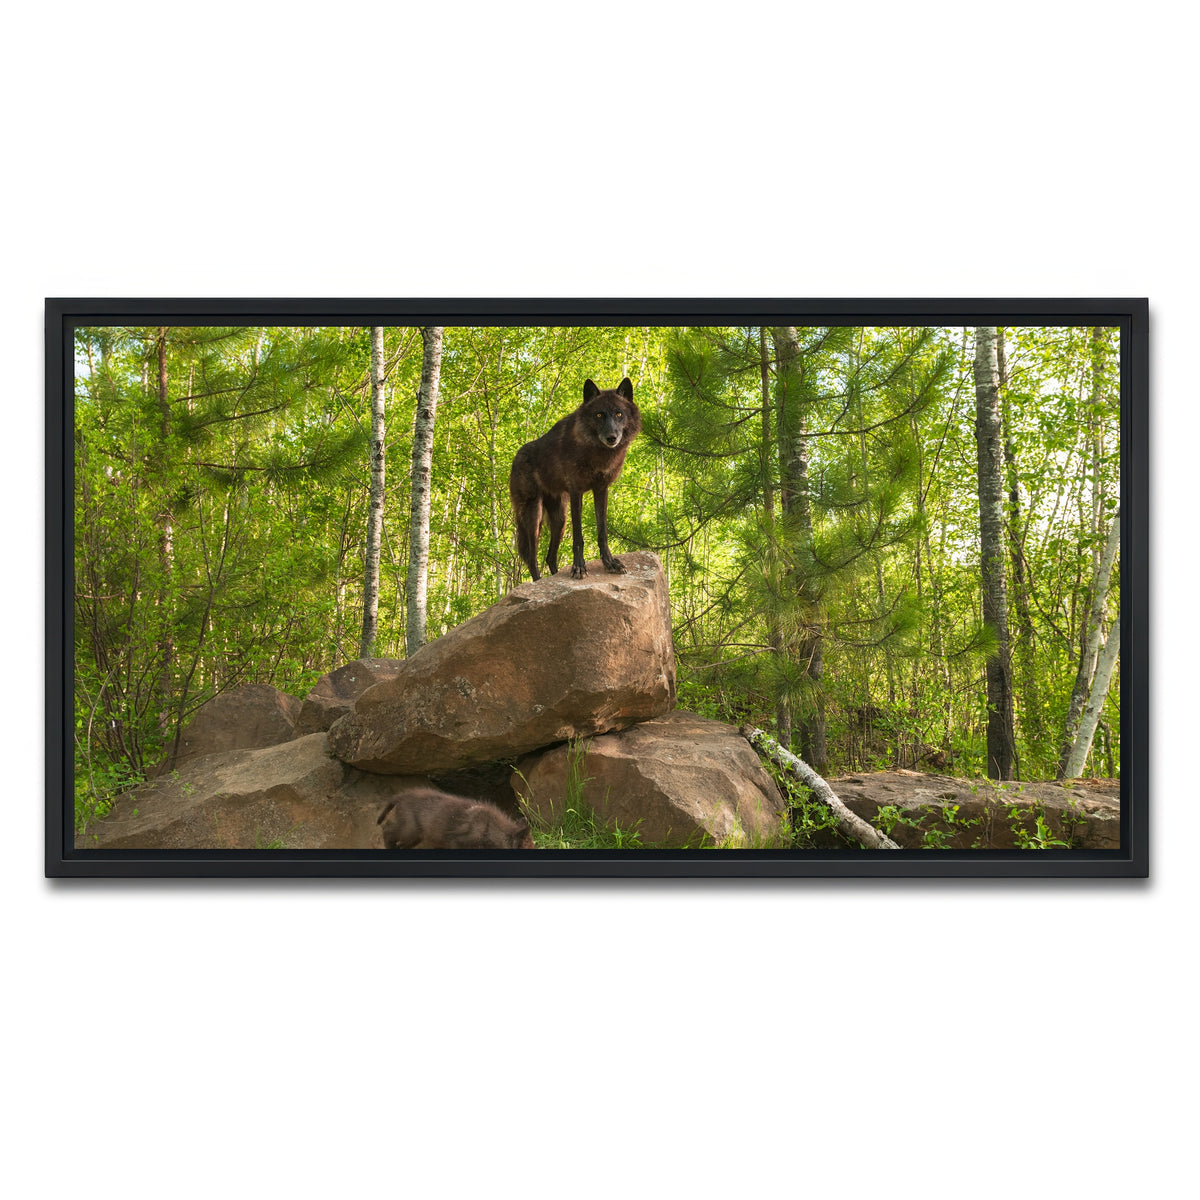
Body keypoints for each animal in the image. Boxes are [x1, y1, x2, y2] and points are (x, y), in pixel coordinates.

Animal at [376, 788, 536, 850]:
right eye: (529, 848)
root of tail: (401, 796)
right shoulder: (456, 841)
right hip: (409, 829)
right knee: (387, 830)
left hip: (415, 836)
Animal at [509, 377, 641, 581]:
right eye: (599, 415)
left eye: (619, 414)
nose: (611, 438)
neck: (596, 452)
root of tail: (516, 458)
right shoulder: (576, 491)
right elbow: (579, 536)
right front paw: (579, 567)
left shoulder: (601, 489)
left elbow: (602, 532)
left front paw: (610, 563)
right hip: (533, 516)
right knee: (531, 558)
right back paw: (538, 582)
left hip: (559, 520)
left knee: (550, 557)